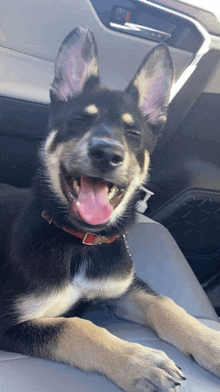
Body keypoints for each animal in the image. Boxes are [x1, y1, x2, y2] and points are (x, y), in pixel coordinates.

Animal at [0, 27, 220, 392]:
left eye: (133, 133)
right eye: (78, 120)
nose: (106, 153)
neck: (79, 242)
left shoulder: (125, 287)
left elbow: (167, 305)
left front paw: (211, 342)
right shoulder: (9, 322)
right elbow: (76, 328)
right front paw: (138, 360)